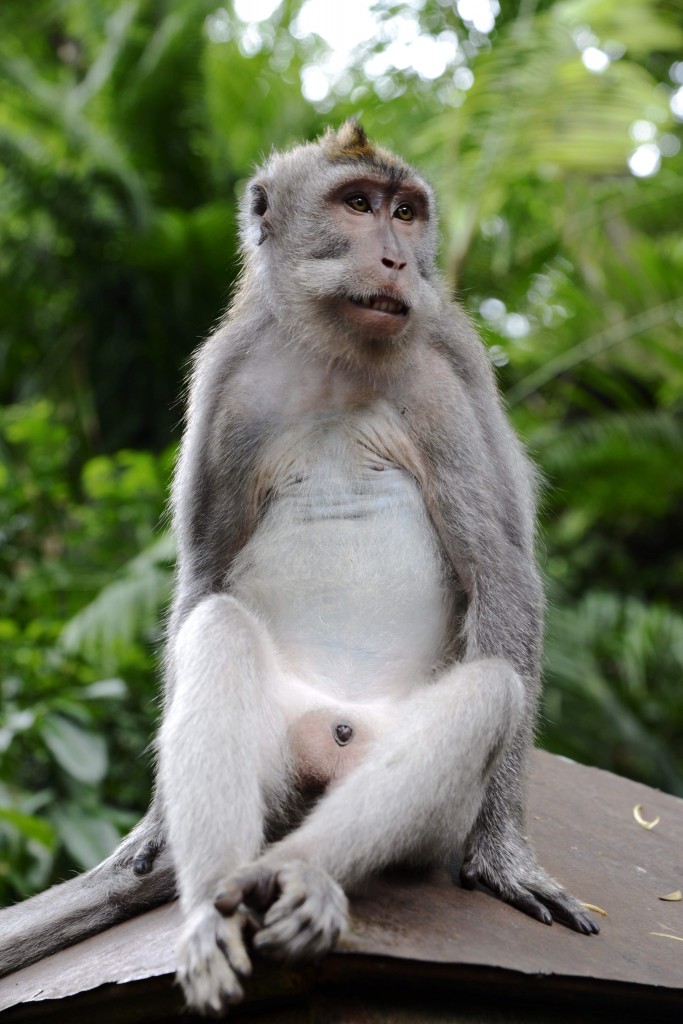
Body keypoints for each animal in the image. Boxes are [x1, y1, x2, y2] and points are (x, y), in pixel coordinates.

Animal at [0, 121, 598, 1017]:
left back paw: (300, 875)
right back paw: (213, 907)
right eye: (355, 203)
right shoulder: (227, 379)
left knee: (489, 691)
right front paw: (152, 824)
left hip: (405, 787)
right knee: (217, 631)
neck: (336, 355)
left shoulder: (444, 377)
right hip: (278, 761)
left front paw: (503, 849)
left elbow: (502, 572)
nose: (394, 258)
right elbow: (205, 571)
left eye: (405, 212)